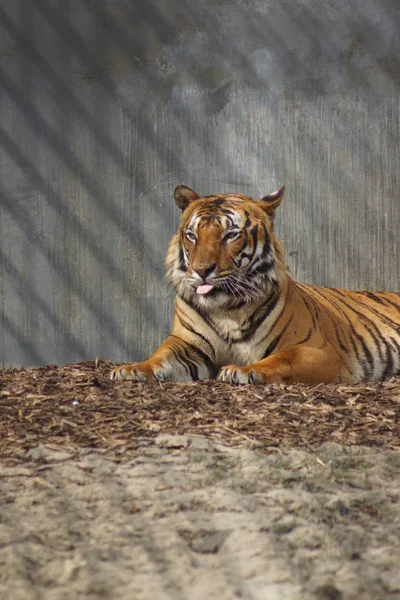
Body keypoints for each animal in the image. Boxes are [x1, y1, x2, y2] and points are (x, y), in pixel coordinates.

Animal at [110, 183, 400, 386]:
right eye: (192, 235)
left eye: (231, 235)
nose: (201, 270)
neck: (226, 309)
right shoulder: (187, 342)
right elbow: (160, 356)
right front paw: (131, 369)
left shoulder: (319, 350)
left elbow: (280, 359)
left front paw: (243, 371)